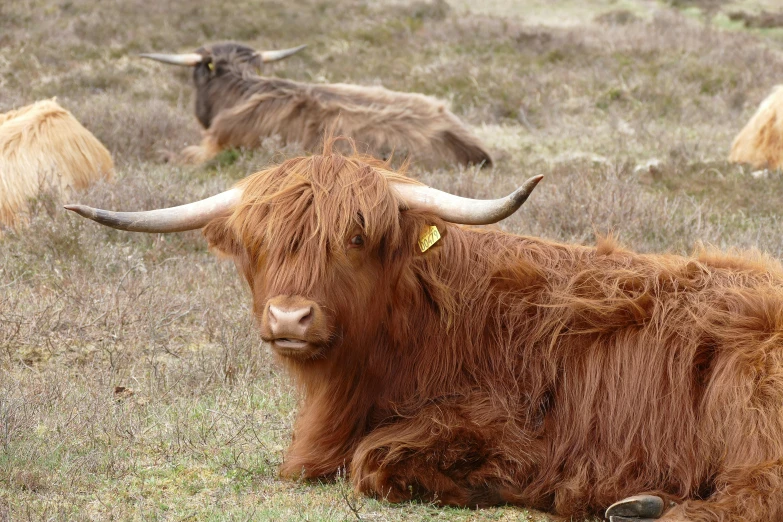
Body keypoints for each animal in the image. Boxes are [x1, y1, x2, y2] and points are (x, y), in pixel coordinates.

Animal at [66, 140, 783, 516]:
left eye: (355, 238)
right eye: (256, 242)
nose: (289, 316)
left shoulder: (503, 423)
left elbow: (373, 459)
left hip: (748, 403)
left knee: (754, 491)